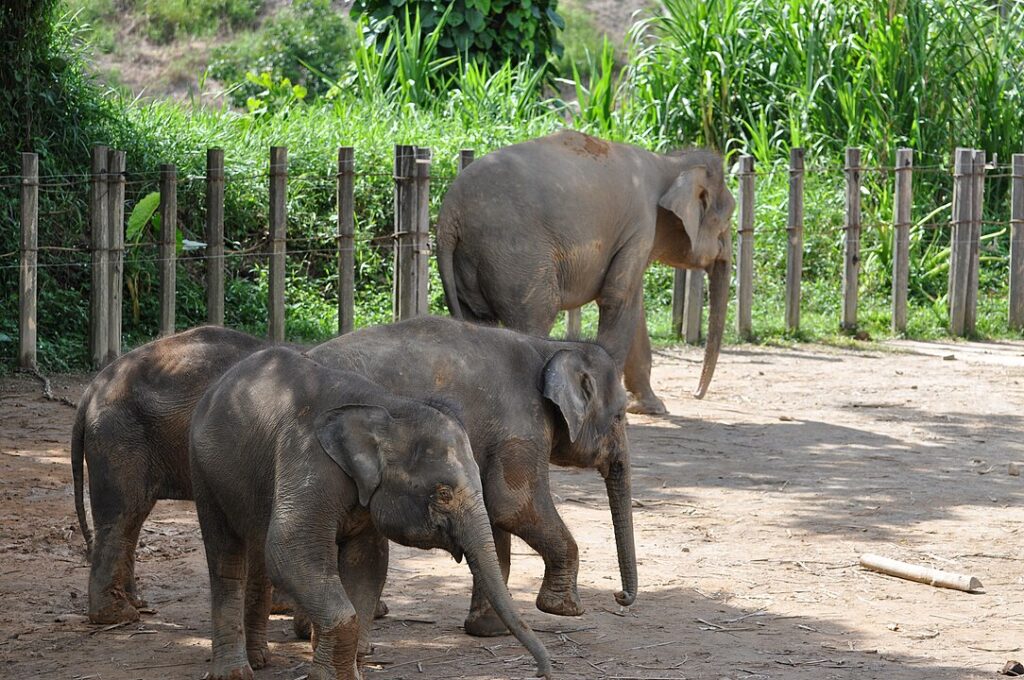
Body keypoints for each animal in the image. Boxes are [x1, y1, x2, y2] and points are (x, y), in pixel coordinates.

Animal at [73, 327, 270, 622]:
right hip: (119, 435)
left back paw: (135, 603)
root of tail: (92, 389)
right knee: (121, 515)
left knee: (132, 518)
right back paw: (118, 615)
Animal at [186, 348, 552, 680]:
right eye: (443, 493)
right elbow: (289, 550)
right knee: (227, 560)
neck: (387, 406)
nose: (541, 673)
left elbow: (367, 562)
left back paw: (262, 660)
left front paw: (350, 666)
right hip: (204, 474)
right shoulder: (309, 460)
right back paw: (235, 673)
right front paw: (333, 676)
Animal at [307, 317, 634, 639]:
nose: (620, 596)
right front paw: (565, 609)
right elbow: (513, 506)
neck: (550, 347)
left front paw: (489, 630)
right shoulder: (520, 426)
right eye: (619, 416)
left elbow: (494, 515)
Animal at [432, 128, 737, 413]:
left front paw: (652, 407)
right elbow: (617, 299)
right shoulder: (640, 225)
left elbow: (634, 306)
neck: (669, 163)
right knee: (536, 317)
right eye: (726, 220)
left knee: (476, 324)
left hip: (471, 264)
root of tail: (449, 215)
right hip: (515, 257)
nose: (697, 394)